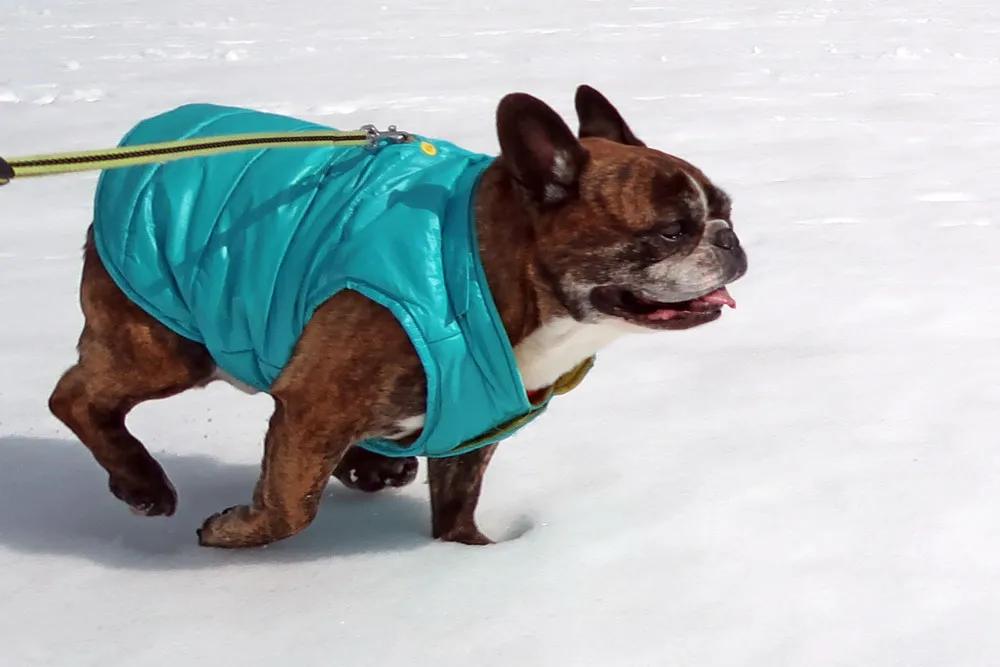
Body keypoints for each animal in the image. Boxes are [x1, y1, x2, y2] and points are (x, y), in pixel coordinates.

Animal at [47, 85, 748, 548]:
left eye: (726, 209)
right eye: (671, 231)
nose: (728, 239)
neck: (494, 274)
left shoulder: (472, 427)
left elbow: (458, 502)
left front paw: (468, 555)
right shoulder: (316, 403)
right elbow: (291, 505)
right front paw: (235, 531)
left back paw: (374, 462)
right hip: (164, 344)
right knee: (75, 398)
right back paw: (141, 482)